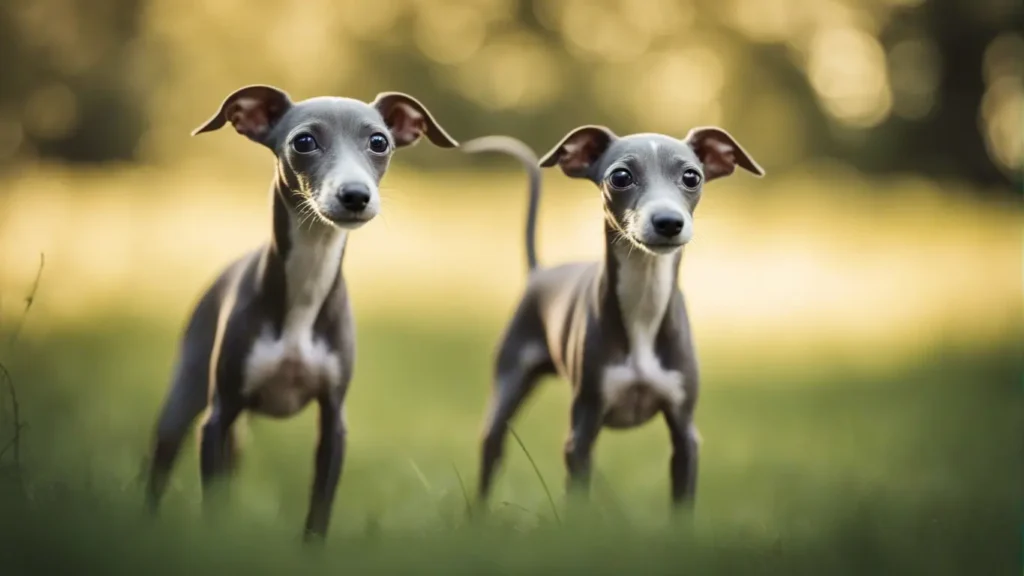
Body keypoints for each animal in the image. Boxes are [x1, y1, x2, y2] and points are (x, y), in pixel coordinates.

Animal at [146, 83, 458, 537]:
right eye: (304, 141)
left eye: (379, 142)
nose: (355, 195)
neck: (306, 288)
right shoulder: (218, 418)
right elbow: (212, 505)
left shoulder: (333, 420)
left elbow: (318, 512)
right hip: (186, 395)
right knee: (159, 468)